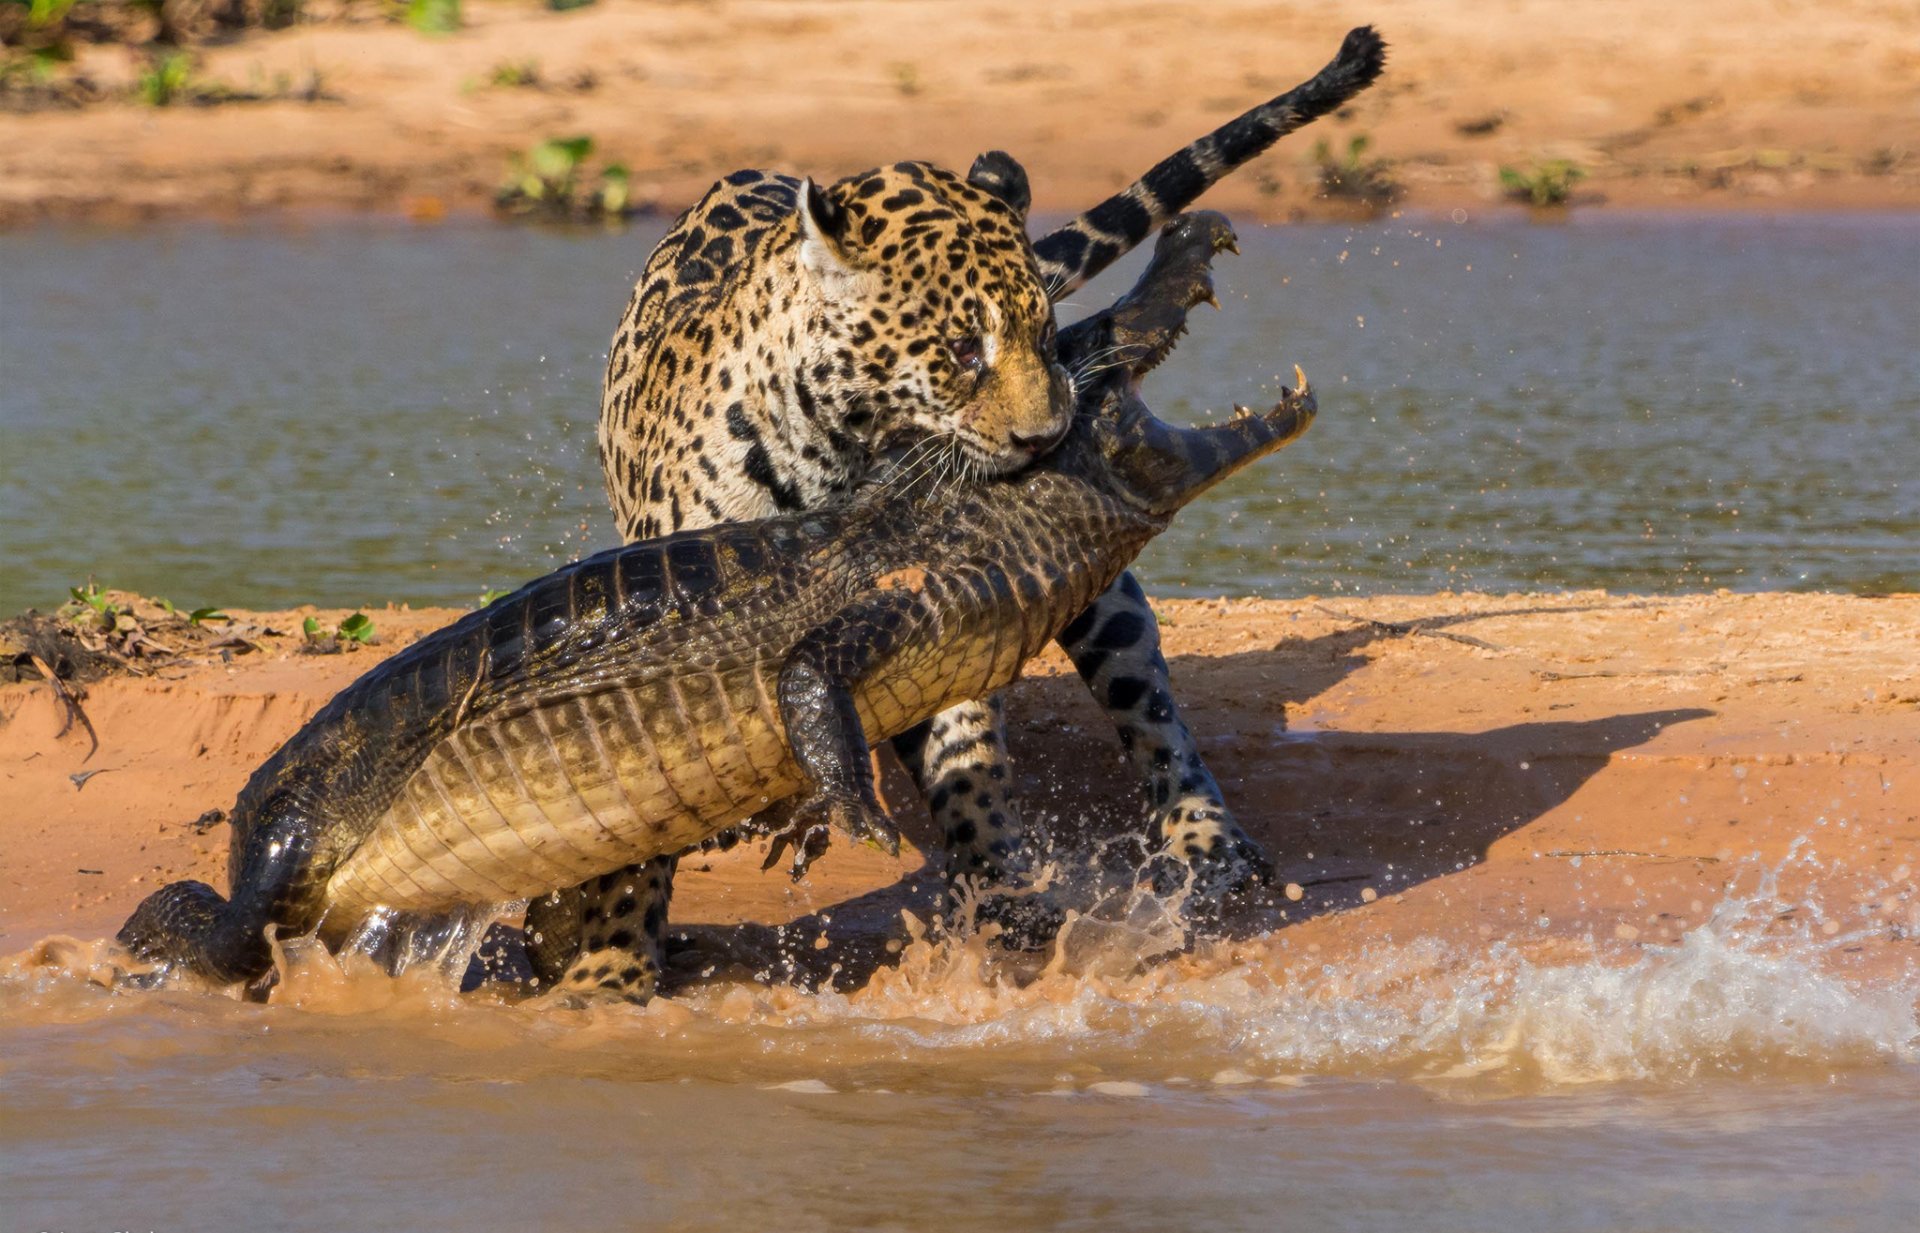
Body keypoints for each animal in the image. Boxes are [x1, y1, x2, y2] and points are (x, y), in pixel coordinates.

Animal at [527, 27, 1387, 1003]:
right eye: (961, 349)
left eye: (1045, 333)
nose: (1048, 436)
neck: (844, 450)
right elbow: (633, 826)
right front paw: (610, 970)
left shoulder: (946, 596)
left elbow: (965, 749)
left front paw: (999, 893)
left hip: (1107, 605)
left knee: (1154, 710)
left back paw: (1205, 840)